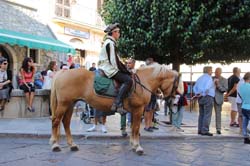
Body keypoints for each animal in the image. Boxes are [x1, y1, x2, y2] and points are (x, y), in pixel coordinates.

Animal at [48, 64, 178, 155]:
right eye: (176, 85)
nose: (173, 102)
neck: (143, 81)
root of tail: (63, 72)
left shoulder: (134, 111)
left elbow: (133, 128)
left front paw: (133, 144)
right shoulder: (138, 110)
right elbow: (136, 128)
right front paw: (137, 147)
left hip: (70, 104)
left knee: (65, 122)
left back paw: (72, 145)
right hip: (64, 104)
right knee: (55, 121)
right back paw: (55, 145)